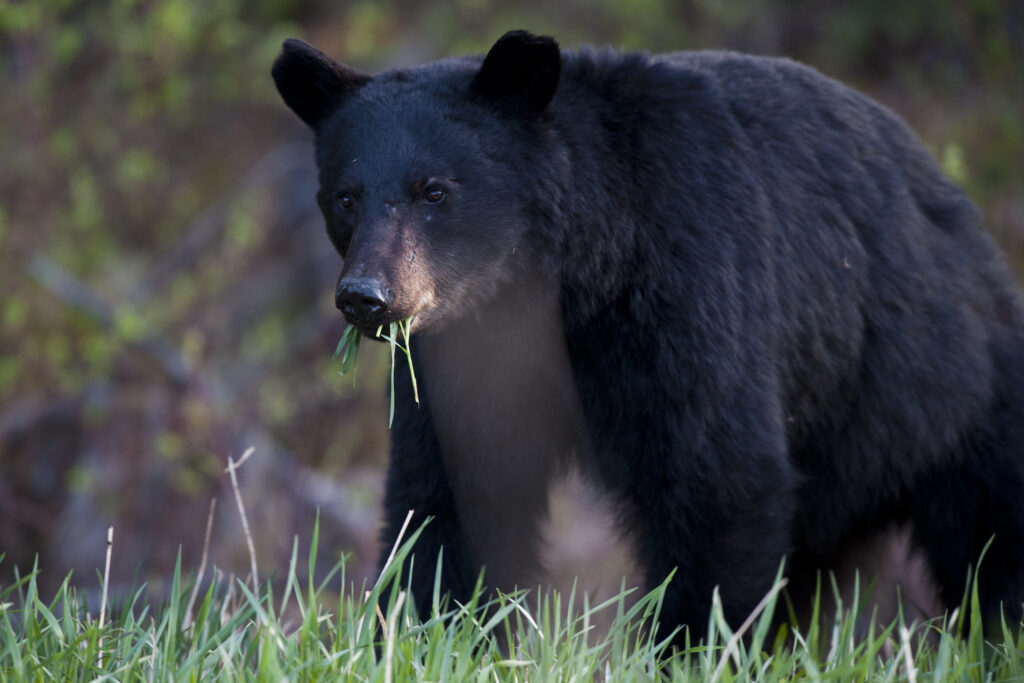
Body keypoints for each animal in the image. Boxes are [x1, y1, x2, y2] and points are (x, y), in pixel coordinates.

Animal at [272, 30, 1024, 637]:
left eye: (435, 191)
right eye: (345, 197)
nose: (366, 297)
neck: (563, 288)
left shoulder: (689, 296)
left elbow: (720, 480)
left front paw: (694, 645)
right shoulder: (466, 357)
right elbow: (448, 499)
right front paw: (430, 629)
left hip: (943, 393)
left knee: (991, 535)